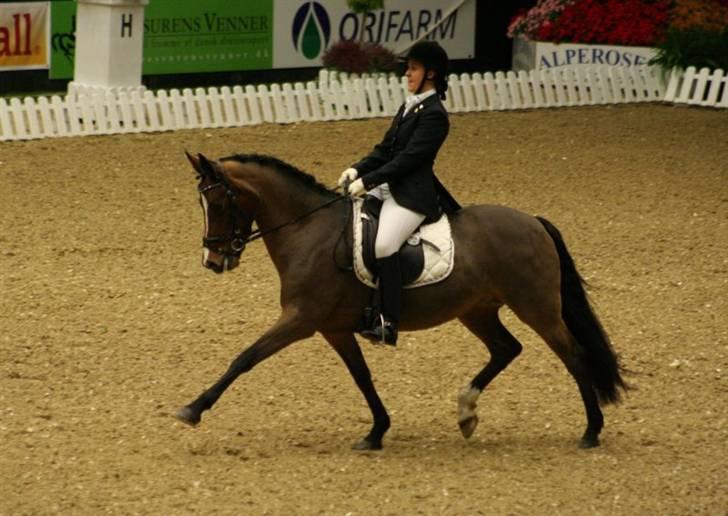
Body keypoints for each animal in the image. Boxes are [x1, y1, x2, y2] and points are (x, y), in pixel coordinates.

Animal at [175, 152, 627, 450]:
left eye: (219, 202)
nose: (212, 261)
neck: (308, 230)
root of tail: (534, 221)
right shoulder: (333, 328)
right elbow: (362, 377)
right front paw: (376, 432)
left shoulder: (301, 319)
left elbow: (245, 358)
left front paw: (193, 409)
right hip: (476, 310)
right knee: (506, 348)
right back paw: (466, 411)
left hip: (536, 307)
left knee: (572, 354)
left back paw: (591, 431)